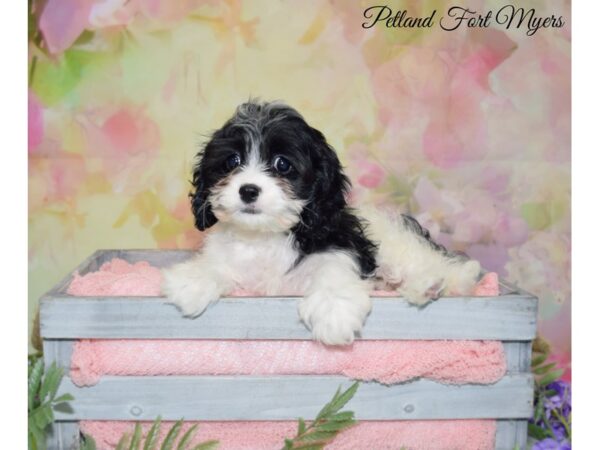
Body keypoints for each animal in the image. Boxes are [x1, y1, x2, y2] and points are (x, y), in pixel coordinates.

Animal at [162, 101, 480, 344]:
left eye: (282, 164)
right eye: (232, 162)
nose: (248, 190)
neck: (265, 235)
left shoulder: (339, 242)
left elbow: (332, 268)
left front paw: (334, 310)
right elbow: (218, 264)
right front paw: (195, 279)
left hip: (396, 243)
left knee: (431, 265)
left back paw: (433, 283)